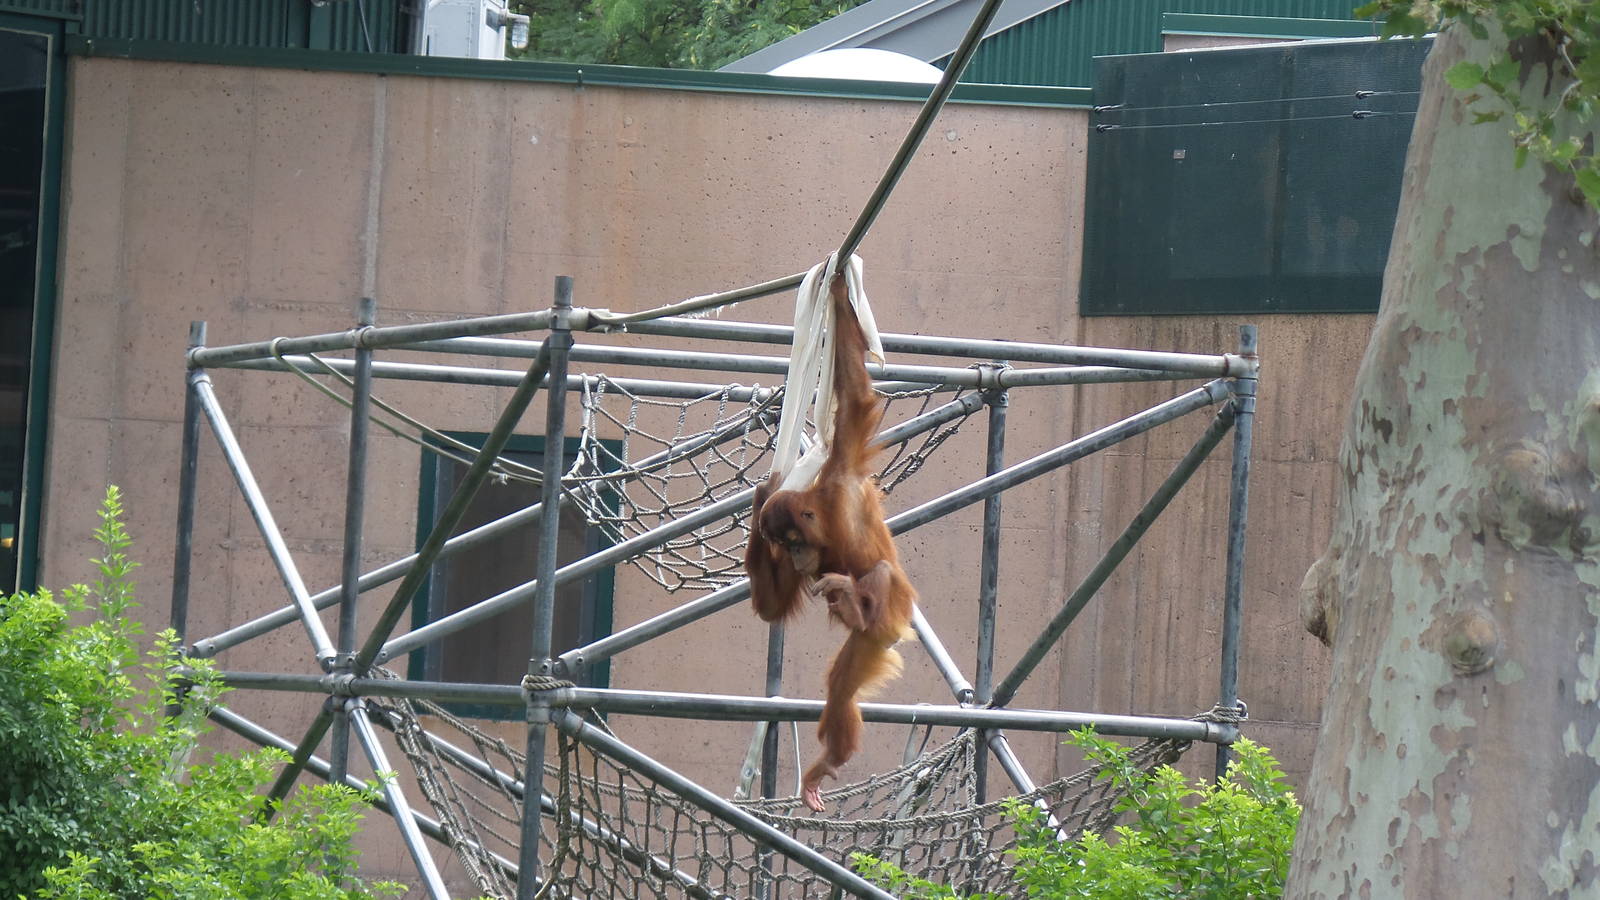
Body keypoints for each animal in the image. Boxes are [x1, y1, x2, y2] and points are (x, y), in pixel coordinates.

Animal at [744, 270, 917, 813]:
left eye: (793, 538)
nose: (798, 556)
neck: (823, 507)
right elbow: (773, 609)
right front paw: (762, 495)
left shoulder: (842, 469)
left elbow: (856, 400)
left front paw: (840, 294)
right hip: (873, 643)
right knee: (842, 687)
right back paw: (829, 761)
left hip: (889, 618)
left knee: (878, 578)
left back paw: (854, 604)